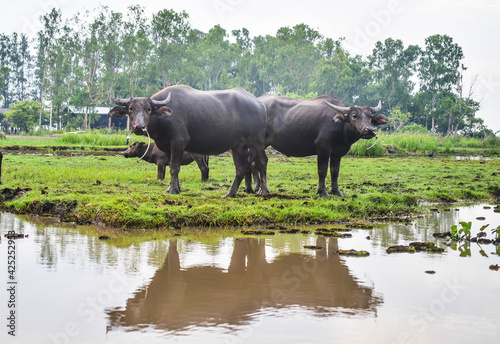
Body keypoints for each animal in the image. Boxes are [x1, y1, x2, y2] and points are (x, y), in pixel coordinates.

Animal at [107, 86, 268, 198]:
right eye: (131, 108)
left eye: (148, 109)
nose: (139, 127)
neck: (163, 119)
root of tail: (260, 104)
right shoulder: (167, 146)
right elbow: (174, 167)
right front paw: (176, 188)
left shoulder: (178, 142)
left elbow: (174, 167)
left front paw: (172, 190)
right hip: (239, 146)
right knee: (241, 167)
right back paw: (230, 193)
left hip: (256, 143)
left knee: (262, 161)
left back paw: (263, 190)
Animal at [258, 94, 386, 196]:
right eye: (354, 115)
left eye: (370, 117)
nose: (369, 130)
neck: (341, 128)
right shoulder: (323, 148)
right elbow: (322, 170)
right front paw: (322, 192)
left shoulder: (337, 153)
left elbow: (335, 172)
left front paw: (336, 191)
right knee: (261, 162)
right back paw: (263, 190)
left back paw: (255, 189)